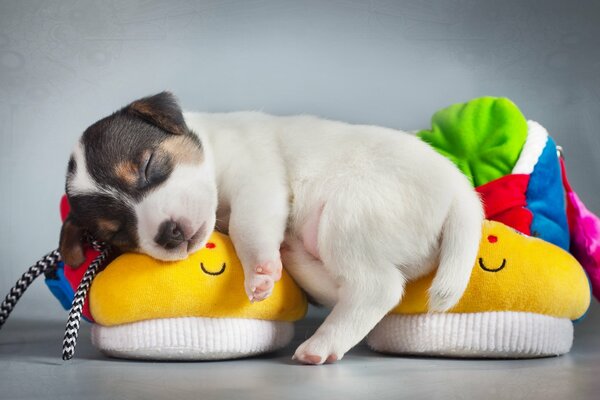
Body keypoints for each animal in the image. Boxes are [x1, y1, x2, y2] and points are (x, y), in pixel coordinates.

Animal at [59, 92, 482, 364]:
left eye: (148, 166)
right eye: (117, 232)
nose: (169, 233)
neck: (212, 151)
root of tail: (459, 191)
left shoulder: (255, 181)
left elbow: (247, 227)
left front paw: (259, 271)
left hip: (348, 216)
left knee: (378, 288)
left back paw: (321, 344)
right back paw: (296, 259)